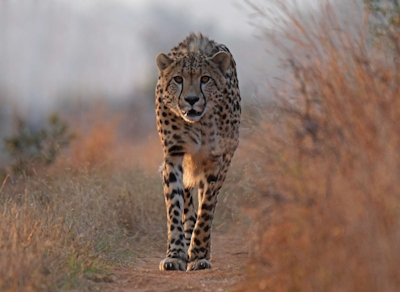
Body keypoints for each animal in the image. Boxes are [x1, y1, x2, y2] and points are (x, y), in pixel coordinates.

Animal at [155, 33, 239, 270]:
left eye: (205, 79)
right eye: (178, 79)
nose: (191, 100)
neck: (196, 123)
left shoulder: (216, 158)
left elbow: (207, 206)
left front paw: (199, 253)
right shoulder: (173, 156)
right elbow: (175, 207)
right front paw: (175, 254)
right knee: (188, 201)